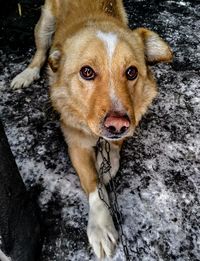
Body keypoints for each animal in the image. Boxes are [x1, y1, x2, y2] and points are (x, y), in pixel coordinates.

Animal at [10, 0, 173, 256]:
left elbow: (113, 150)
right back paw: (27, 73)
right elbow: (93, 183)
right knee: (40, 52)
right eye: (87, 72)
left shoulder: (128, 122)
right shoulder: (75, 143)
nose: (117, 124)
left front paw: (105, 165)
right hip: (44, 25)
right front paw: (101, 224)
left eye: (132, 72)